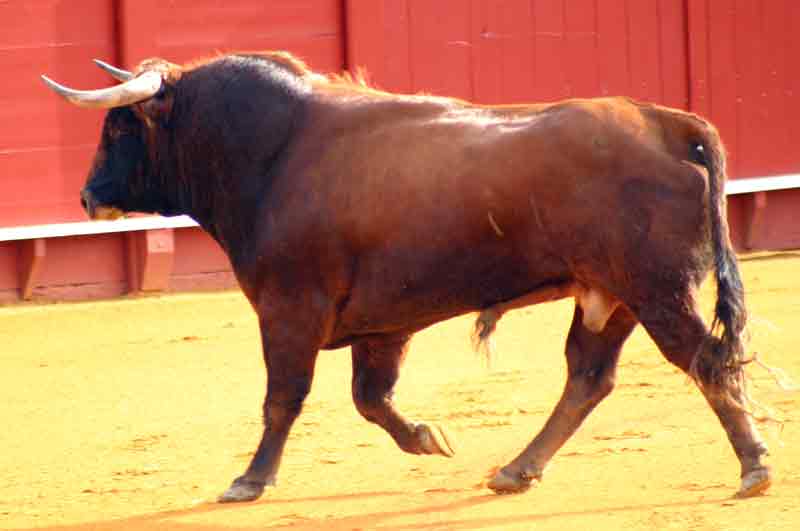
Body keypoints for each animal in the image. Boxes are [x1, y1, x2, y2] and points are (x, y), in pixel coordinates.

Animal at [40, 52, 772, 504]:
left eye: (117, 125)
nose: (85, 197)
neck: (273, 150)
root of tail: (666, 121)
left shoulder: (288, 307)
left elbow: (284, 396)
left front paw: (250, 480)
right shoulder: (381, 323)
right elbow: (371, 397)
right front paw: (429, 438)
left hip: (657, 289)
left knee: (706, 361)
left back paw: (755, 467)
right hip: (611, 296)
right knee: (589, 377)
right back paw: (516, 469)